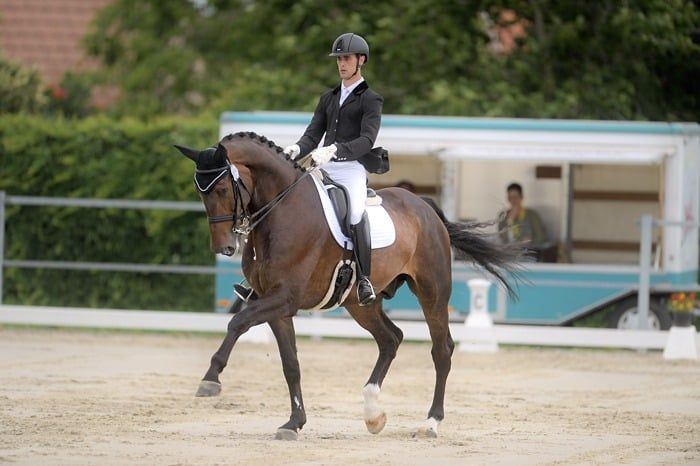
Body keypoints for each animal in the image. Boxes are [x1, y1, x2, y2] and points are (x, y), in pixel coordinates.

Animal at [175, 132, 522, 440]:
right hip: (360, 303)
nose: (224, 247)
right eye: (200, 192)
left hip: (432, 291)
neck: (282, 212)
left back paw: (430, 423)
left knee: (441, 349)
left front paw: (211, 378)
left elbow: (238, 322)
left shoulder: (284, 298)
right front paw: (293, 424)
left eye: (222, 188)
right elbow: (291, 364)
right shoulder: (275, 304)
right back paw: (373, 414)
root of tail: (424, 206)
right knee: (391, 339)